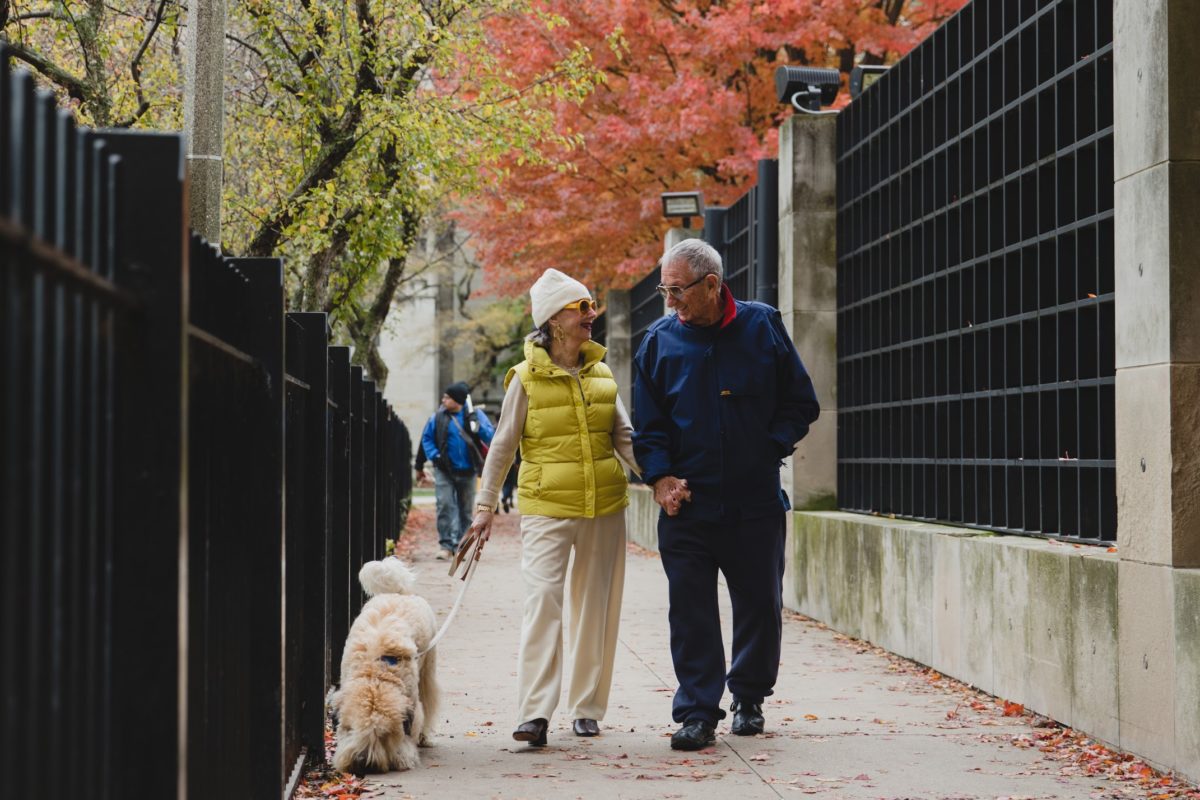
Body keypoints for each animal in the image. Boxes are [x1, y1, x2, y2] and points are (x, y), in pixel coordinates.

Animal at [328, 561, 441, 772]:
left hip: (427, 669)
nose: (363, 763)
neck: (375, 671)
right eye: (353, 728)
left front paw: (403, 755)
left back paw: (424, 737)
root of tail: (399, 592)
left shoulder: (412, 702)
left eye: (383, 734)